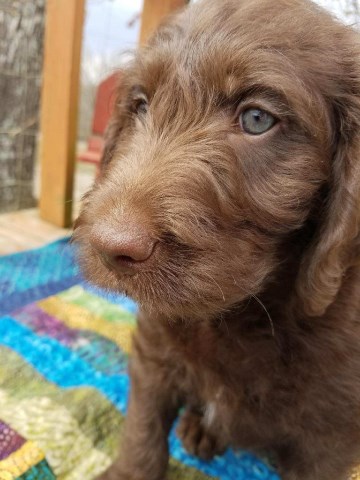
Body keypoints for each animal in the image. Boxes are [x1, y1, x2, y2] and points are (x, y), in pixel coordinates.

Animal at [73, 0, 360, 478]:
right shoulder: (154, 354)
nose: (111, 247)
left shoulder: (330, 437)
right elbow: (142, 435)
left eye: (257, 119)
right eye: (141, 105)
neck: (239, 313)